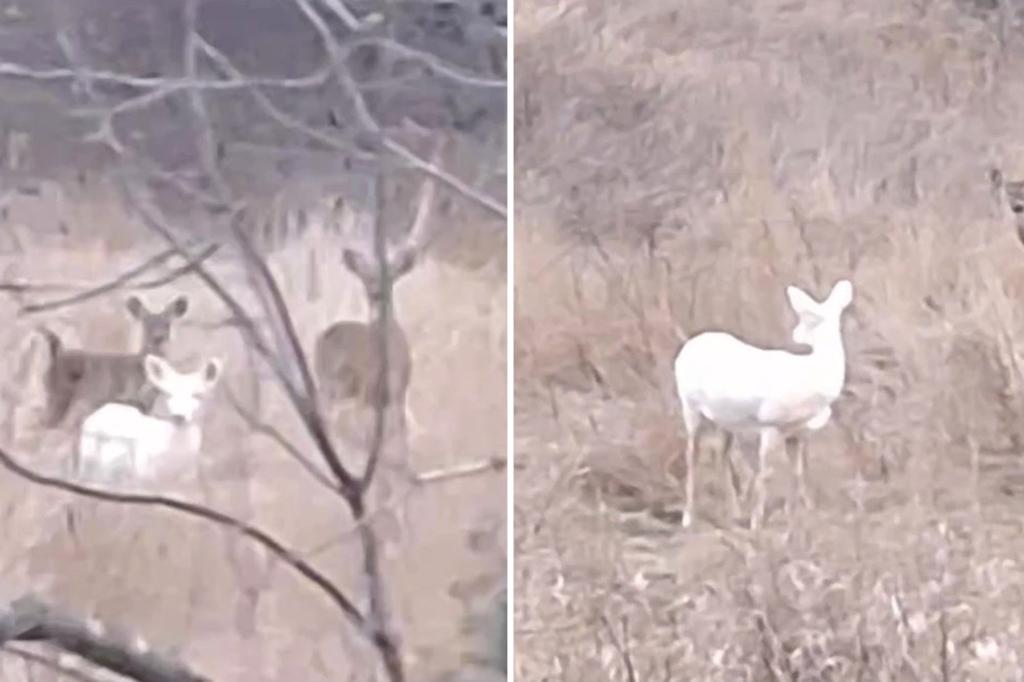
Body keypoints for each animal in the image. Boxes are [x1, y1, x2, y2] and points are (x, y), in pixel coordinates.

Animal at [38, 294, 189, 430]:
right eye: (146, 324)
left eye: (167, 324)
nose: (158, 338)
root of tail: (57, 356)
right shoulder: (127, 397)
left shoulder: (145, 404)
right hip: (71, 396)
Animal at [76, 354, 223, 482]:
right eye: (167, 393)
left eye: (197, 395)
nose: (179, 416)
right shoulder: (143, 472)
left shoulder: (189, 477)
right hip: (88, 454)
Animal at [673, 279, 854, 531]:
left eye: (806, 317)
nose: (796, 334)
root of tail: (688, 346)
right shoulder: (770, 424)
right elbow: (766, 473)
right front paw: (756, 523)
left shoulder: (797, 432)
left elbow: (797, 472)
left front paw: (797, 516)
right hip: (689, 405)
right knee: (693, 454)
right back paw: (689, 518)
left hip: (726, 419)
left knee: (720, 454)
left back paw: (734, 513)